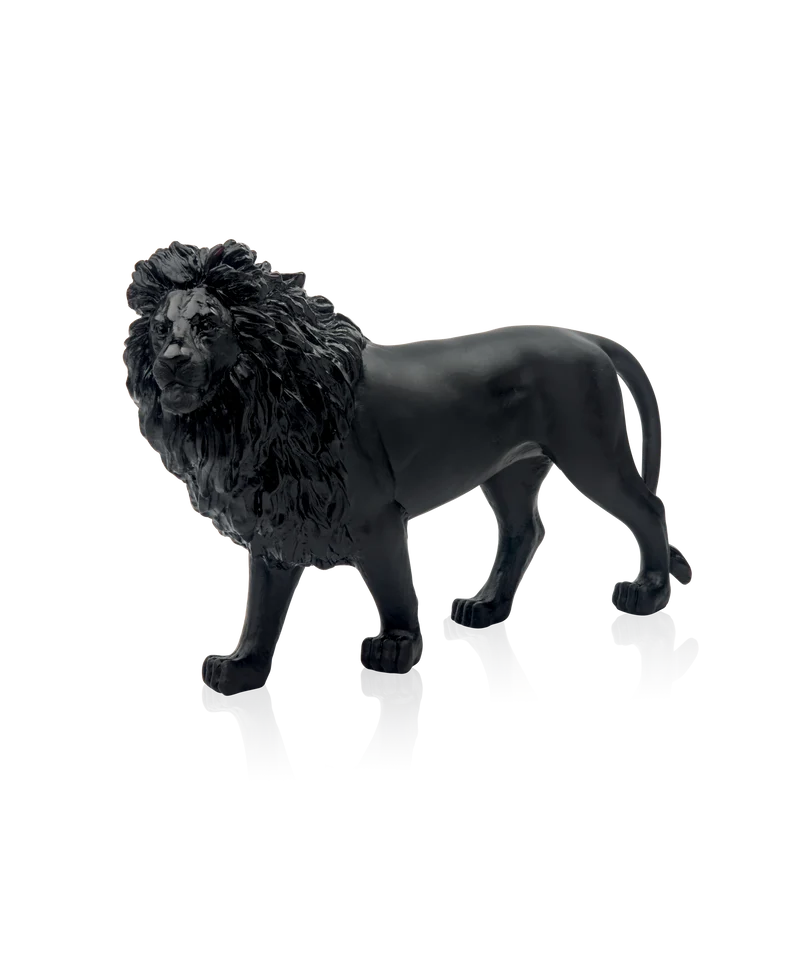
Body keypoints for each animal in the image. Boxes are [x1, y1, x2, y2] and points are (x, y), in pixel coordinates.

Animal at [123, 239, 692, 696]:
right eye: (161, 329)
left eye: (207, 324)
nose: (170, 361)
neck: (252, 408)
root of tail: (589, 338)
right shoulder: (278, 518)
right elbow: (262, 607)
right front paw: (241, 669)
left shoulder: (373, 516)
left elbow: (394, 585)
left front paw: (395, 647)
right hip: (508, 470)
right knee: (524, 530)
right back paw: (484, 609)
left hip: (590, 451)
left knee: (646, 508)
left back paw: (647, 592)